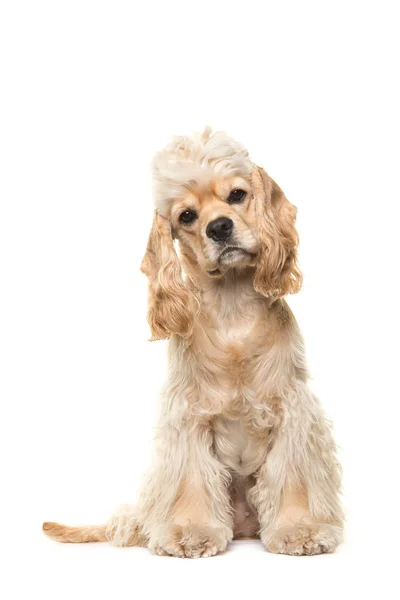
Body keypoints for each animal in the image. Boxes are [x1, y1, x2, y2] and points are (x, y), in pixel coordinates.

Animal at [43, 127, 344, 556]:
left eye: (237, 194)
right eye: (186, 216)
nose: (218, 227)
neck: (232, 306)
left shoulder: (291, 408)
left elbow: (293, 478)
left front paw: (300, 529)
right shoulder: (189, 415)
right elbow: (191, 480)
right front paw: (190, 531)